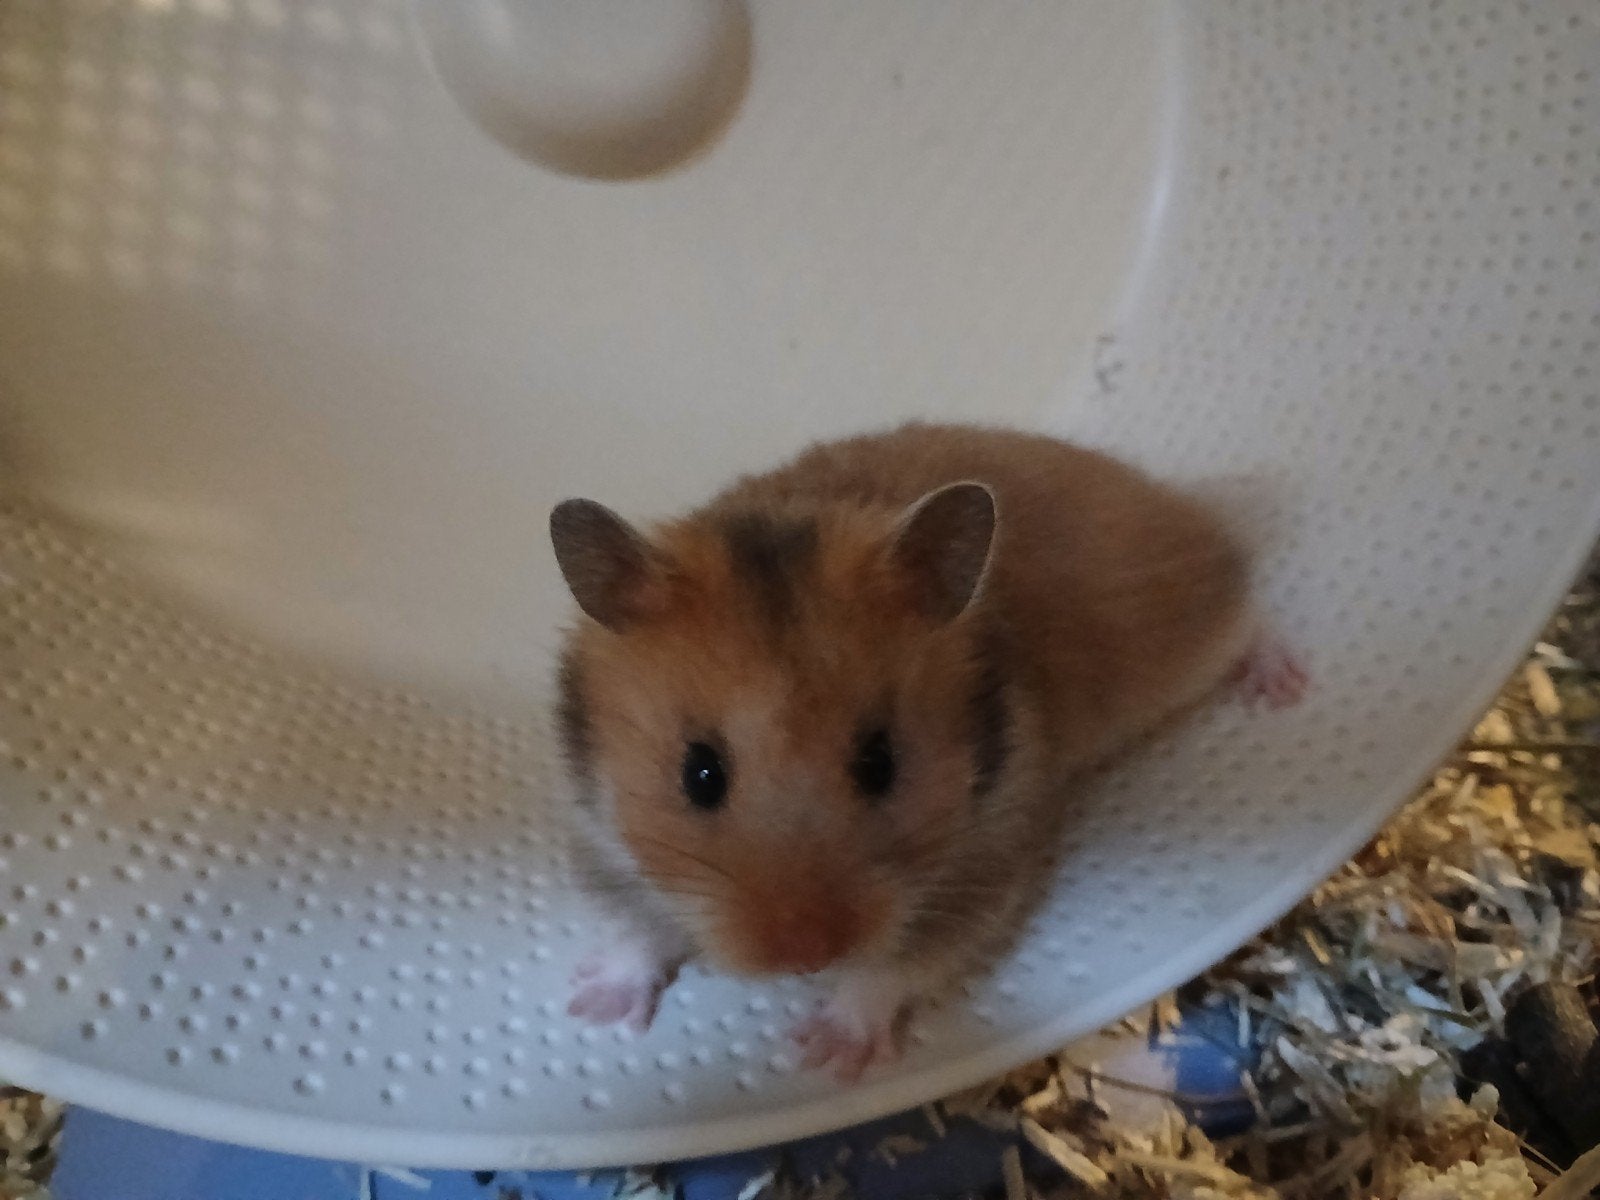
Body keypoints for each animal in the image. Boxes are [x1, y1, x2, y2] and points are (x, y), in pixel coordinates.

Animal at [548, 422, 1305, 1081]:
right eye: (699, 774)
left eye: (880, 763)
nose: (808, 959)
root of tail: (1163, 490)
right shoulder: (601, 841)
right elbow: (637, 935)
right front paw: (591, 1010)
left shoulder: (980, 870)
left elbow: (894, 970)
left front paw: (826, 1055)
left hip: (1191, 634)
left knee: (1252, 617)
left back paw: (1283, 687)